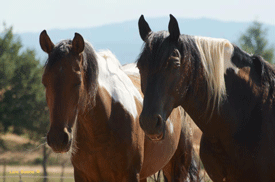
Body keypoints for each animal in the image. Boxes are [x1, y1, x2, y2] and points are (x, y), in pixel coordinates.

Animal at [38, 30, 198, 181]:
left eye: (78, 82)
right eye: (45, 82)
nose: (58, 139)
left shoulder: (130, 175)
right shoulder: (82, 176)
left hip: (177, 169)